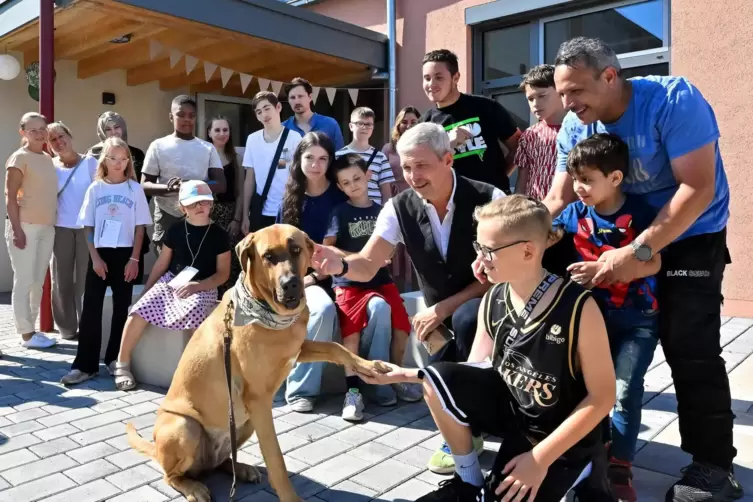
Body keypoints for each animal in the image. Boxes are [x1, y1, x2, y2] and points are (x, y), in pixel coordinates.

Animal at [126, 226, 384, 500]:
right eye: (268, 256)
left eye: (296, 249)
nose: (290, 284)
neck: (270, 313)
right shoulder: (259, 401)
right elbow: (276, 459)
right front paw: (289, 496)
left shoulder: (296, 349)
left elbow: (334, 347)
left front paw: (369, 366)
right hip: (185, 426)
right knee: (171, 475)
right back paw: (193, 487)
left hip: (243, 423)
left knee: (221, 461)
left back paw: (240, 468)